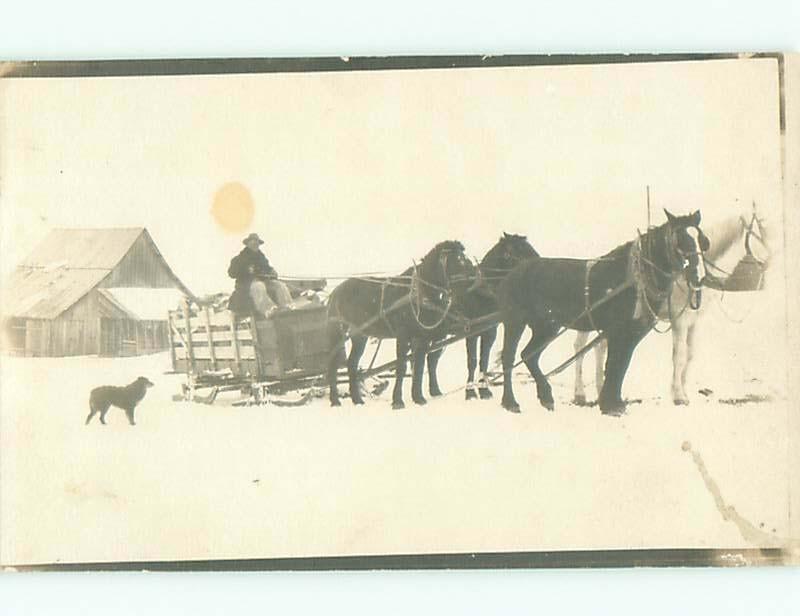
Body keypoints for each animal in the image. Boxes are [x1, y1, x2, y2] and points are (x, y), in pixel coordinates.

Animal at [326, 241, 476, 410]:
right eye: (459, 260)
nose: (476, 275)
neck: (419, 293)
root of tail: (335, 292)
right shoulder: (403, 336)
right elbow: (402, 367)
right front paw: (398, 401)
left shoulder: (422, 338)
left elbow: (419, 366)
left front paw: (418, 398)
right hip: (337, 333)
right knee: (333, 365)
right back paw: (335, 400)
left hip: (360, 335)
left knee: (352, 364)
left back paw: (357, 400)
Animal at [424, 231, 544, 400]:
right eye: (519, 250)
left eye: (530, 247)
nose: (539, 264)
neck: (480, 291)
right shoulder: (471, 332)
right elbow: (473, 361)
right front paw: (470, 392)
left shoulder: (489, 332)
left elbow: (484, 360)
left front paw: (484, 390)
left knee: (432, 358)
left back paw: (435, 391)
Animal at [496, 209, 708, 416]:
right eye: (681, 240)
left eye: (703, 241)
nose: (699, 277)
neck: (635, 277)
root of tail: (515, 271)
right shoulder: (616, 331)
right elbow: (614, 364)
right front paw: (609, 405)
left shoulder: (632, 334)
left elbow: (621, 366)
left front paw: (614, 402)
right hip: (515, 321)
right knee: (509, 358)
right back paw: (510, 402)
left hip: (546, 327)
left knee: (529, 355)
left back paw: (546, 396)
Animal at [576, 207, 768, 406]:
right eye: (762, 227)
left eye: (703, 241)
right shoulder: (680, 321)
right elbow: (679, 356)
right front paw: (678, 395)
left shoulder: (694, 321)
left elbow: (689, 355)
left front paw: (683, 390)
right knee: (579, 349)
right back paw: (580, 393)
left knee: (599, 348)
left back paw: (599, 390)